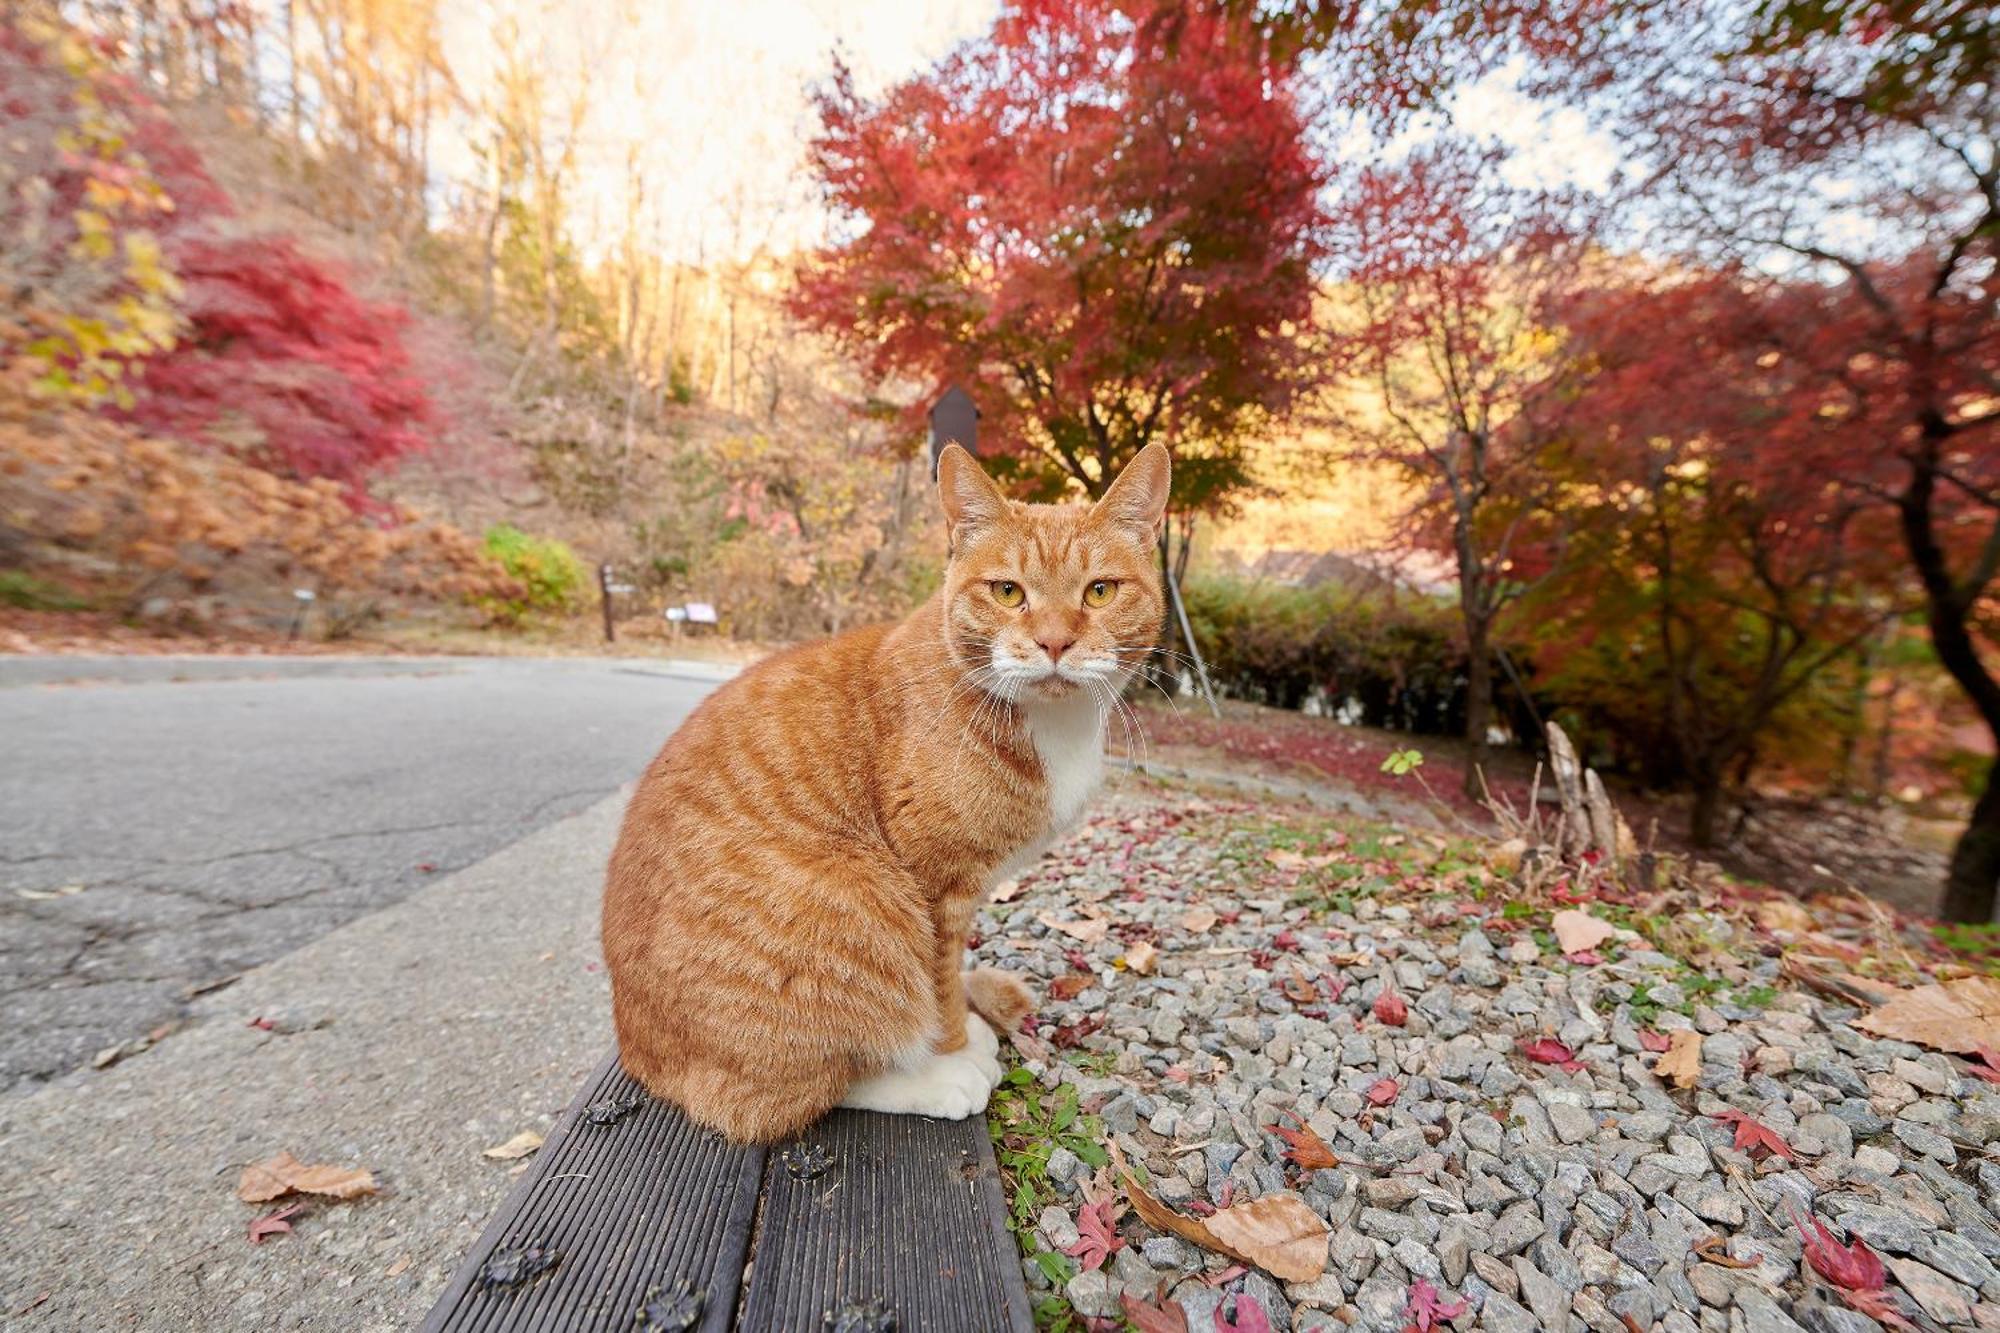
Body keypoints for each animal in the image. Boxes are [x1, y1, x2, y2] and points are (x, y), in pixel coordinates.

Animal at [600, 440, 1168, 1136]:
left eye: (1100, 591)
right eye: (1008, 592)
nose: (1055, 641)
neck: (1050, 722)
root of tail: (638, 1052)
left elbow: (950, 973)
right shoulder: (934, 887)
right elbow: (937, 985)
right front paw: (953, 1046)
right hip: (860, 897)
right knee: (784, 1095)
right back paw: (930, 1079)